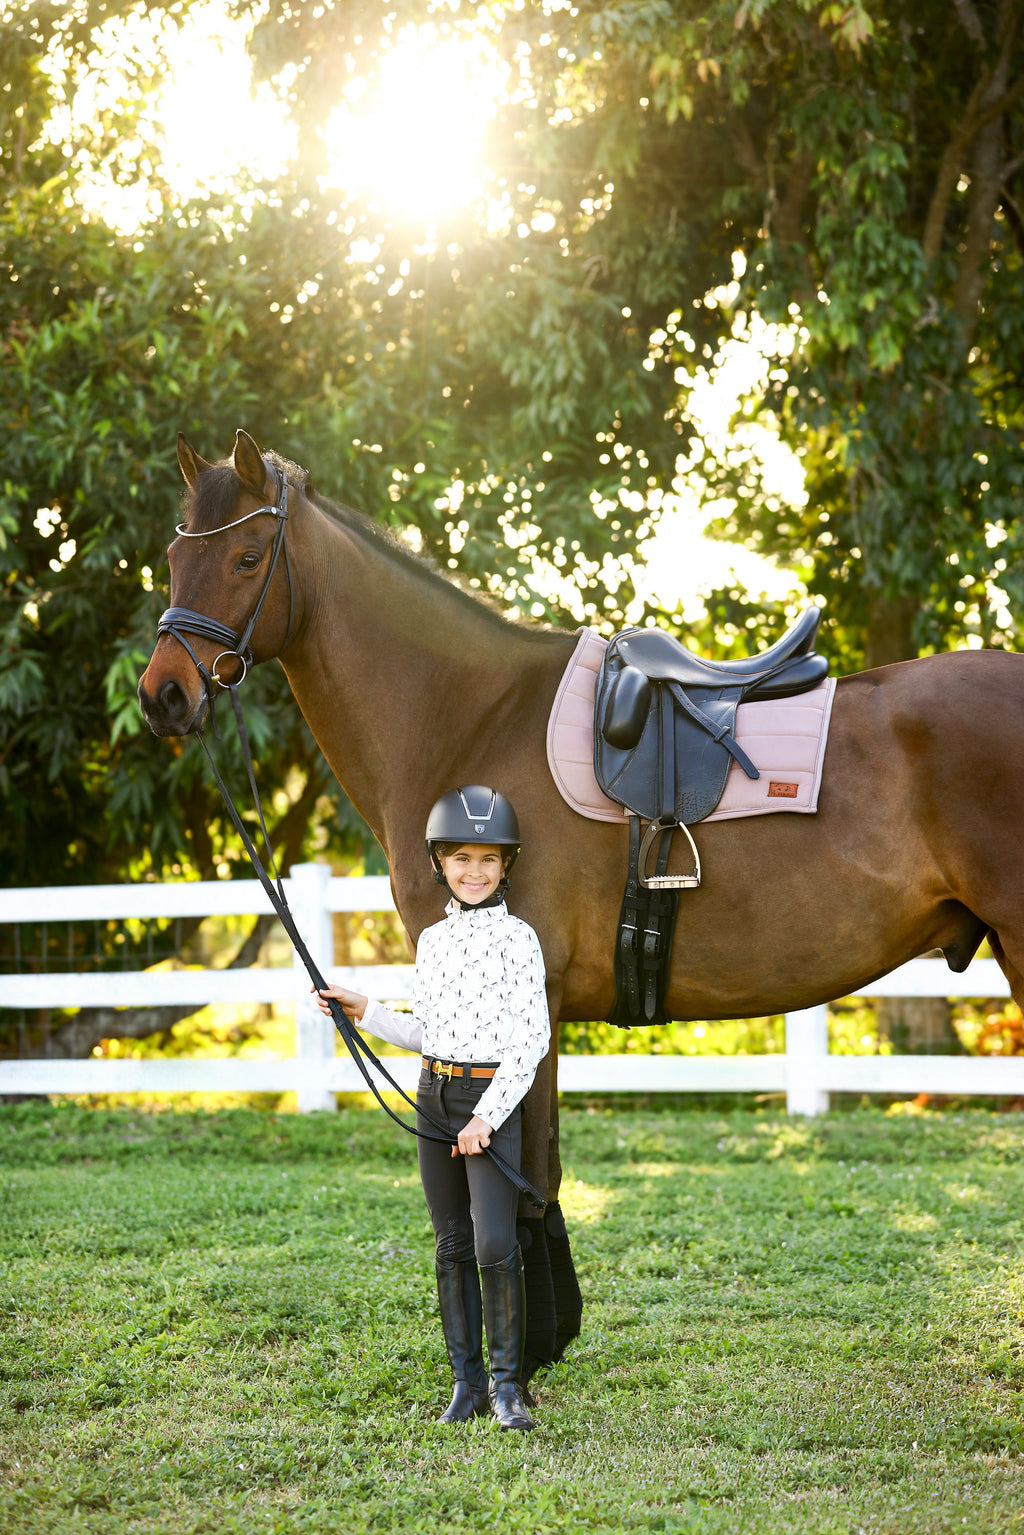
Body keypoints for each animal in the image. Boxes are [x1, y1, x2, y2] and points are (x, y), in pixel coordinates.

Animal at [139, 429, 1024, 1360]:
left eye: (245, 557)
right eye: (173, 558)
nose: (164, 694)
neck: (470, 718)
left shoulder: (536, 1000)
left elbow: (521, 1170)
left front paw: (526, 1347)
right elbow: (541, 1169)